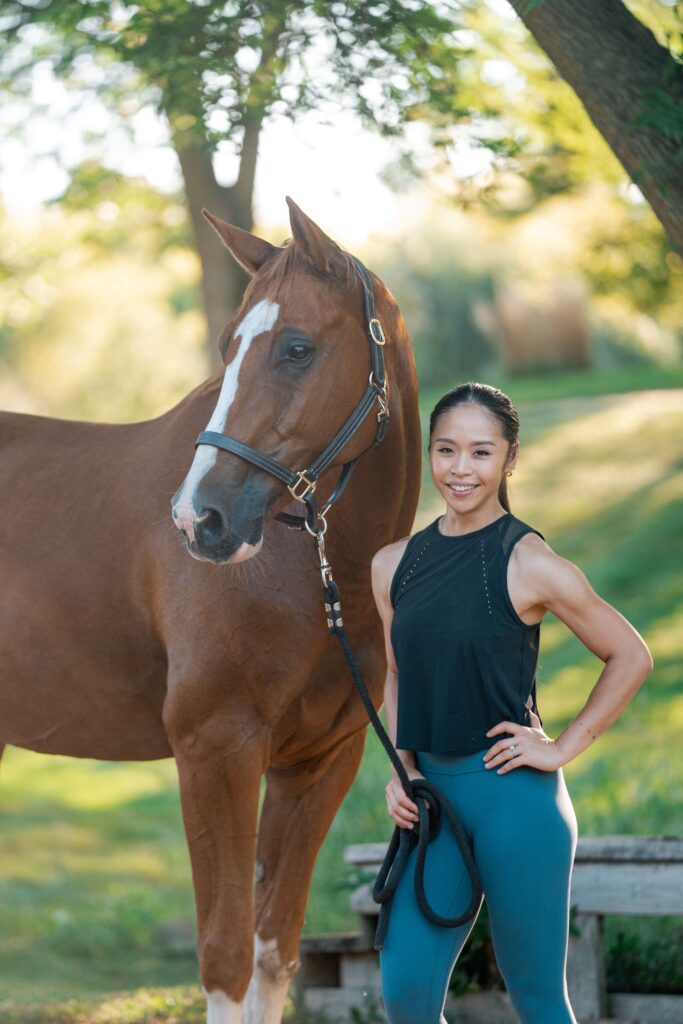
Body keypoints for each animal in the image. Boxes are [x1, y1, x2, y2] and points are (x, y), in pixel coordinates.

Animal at [0, 195, 421, 1019]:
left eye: (296, 347)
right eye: (228, 348)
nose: (200, 519)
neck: (312, 574)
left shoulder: (318, 763)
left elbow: (272, 952)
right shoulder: (214, 750)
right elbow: (224, 957)